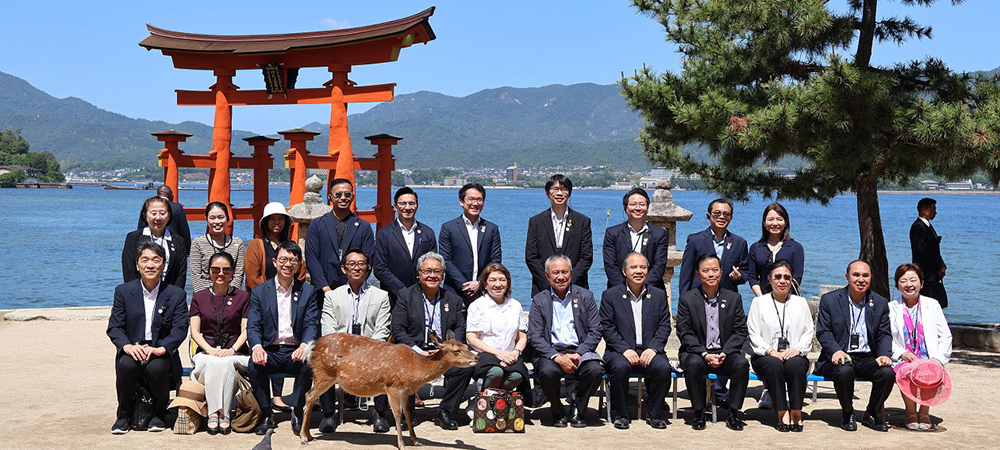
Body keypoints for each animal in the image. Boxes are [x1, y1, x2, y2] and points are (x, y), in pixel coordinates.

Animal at [298, 328, 478, 448]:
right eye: (456, 350)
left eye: (465, 345)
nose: (476, 357)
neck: (414, 368)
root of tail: (311, 346)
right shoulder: (392, 386)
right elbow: (397, 415)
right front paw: (401, 445)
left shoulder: (405, 391)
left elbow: (407, 413)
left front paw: (416, 441)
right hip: (324, 374)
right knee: (309, 396)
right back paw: (303, 438)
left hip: (323, 376)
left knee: (310, 396)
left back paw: (309, 436)